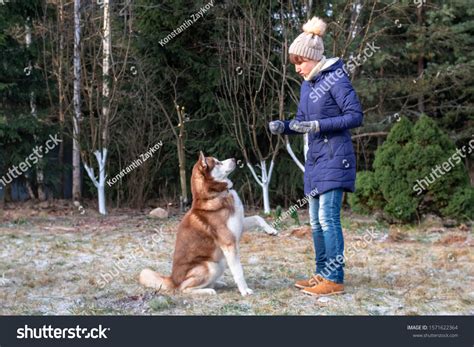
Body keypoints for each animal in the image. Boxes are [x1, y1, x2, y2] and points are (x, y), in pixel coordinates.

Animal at [138, 152, 278, 296]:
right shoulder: (229, 243)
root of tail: (172, 280)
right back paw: (208, 290)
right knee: (184, 289)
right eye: (217, 163)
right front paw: (244, 291)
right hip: (211, 266)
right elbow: (238, 271)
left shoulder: (239, 224)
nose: (234, 159)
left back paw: (218, 283)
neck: (218, 193)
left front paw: (271, 230)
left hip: (220, 262)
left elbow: (257, 217)